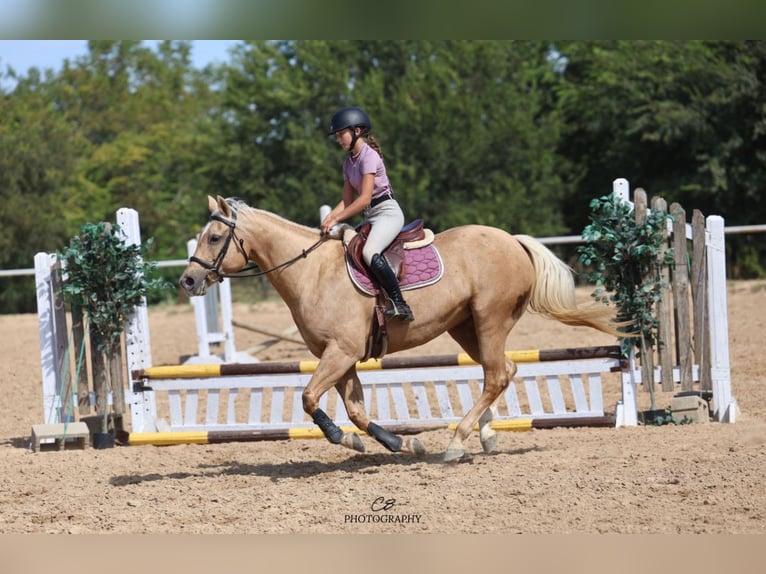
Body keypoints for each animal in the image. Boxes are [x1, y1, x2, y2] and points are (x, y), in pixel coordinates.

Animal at [180, 195, 624, 462]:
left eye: (215, 237)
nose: (187, 280)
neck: (310, 272)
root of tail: (512, 241)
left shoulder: (340, 352)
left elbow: (308, 398)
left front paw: (356, 438)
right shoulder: (342, 358)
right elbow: (356, 412)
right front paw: (393, 441)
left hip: (490, 318)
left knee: (498, 373)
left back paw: (457, 442)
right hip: (466, 326)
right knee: (499, 371)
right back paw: (484, 436)